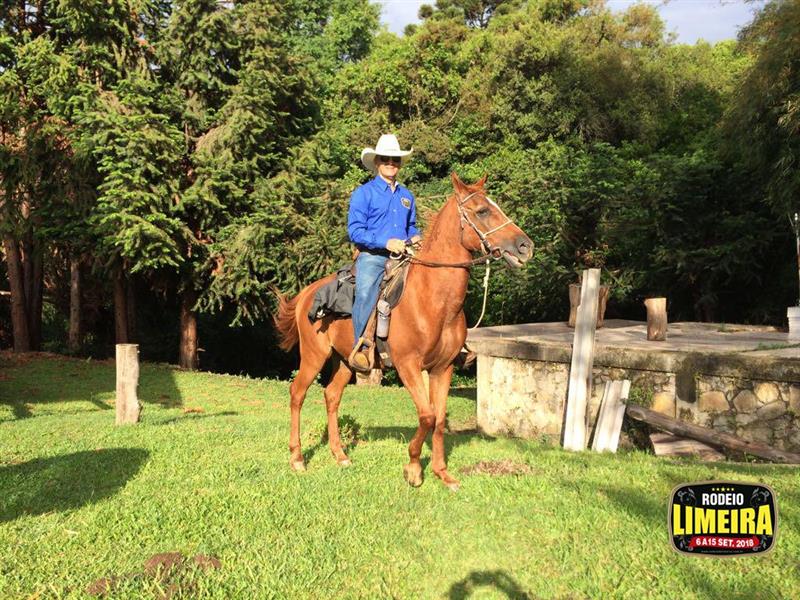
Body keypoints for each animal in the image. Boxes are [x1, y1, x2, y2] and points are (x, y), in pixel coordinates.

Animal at [274, 172, 533, 490]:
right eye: (482, 211)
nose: (525, 246)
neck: (433, 299)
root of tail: (306, 294)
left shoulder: (443, 368)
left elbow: (438, 418)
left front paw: (442, 473)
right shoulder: (408, 365)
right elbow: (427, 415)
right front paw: (413, 469)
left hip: (346, 360)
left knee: (332, 396)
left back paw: (340, 455)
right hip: (314, 355)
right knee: (297, 393)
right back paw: (297, 458)